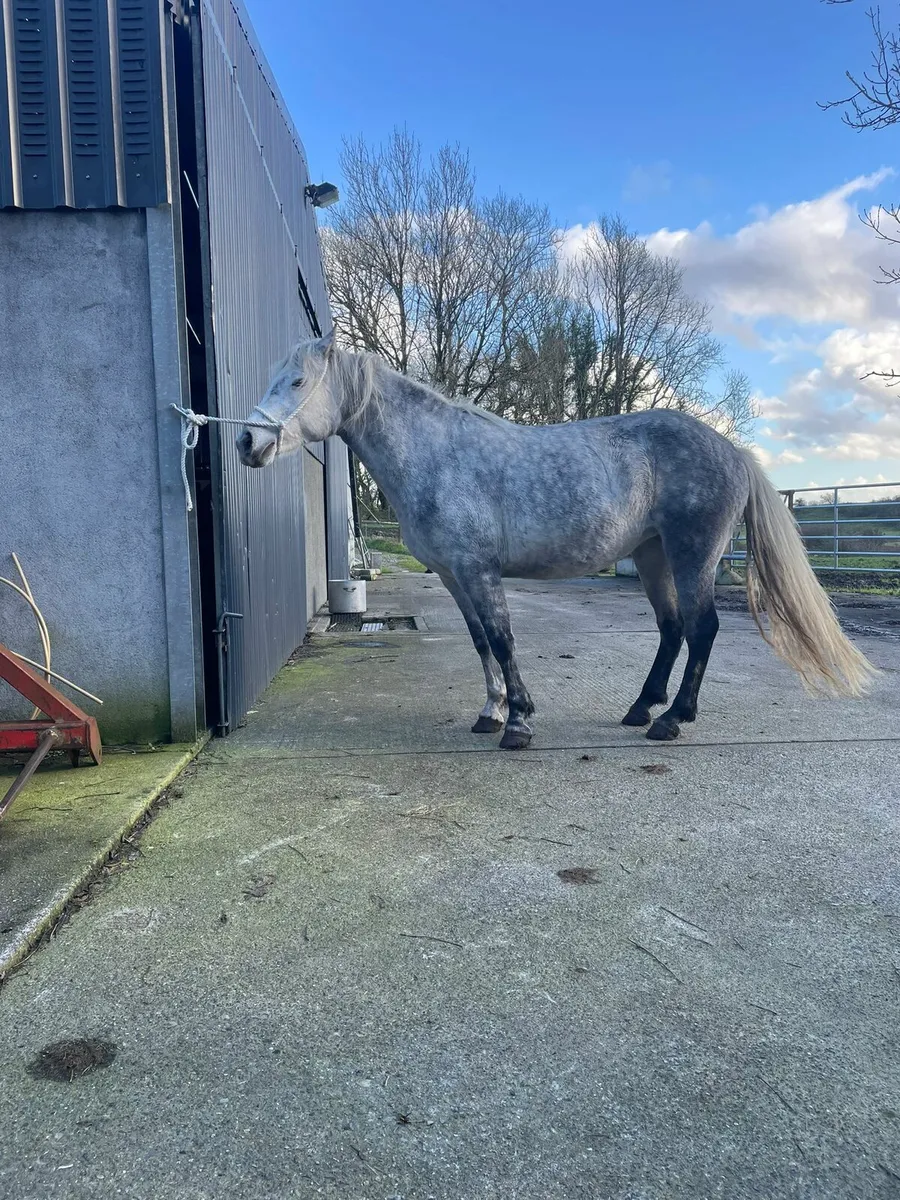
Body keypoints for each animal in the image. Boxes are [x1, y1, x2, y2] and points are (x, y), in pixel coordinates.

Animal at [236, 333, 876, 750]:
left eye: (297, 381)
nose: (246, 442)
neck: (438, 455)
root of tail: (732, 450)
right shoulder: (454, 575)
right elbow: (480, 642)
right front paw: (491, 713)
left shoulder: (478, 569)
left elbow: (502, 638)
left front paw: (519, 721)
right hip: (651, 556)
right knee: (672, 629)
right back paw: (640, 709)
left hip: (692, 555)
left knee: (701, 629)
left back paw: (673, 719)